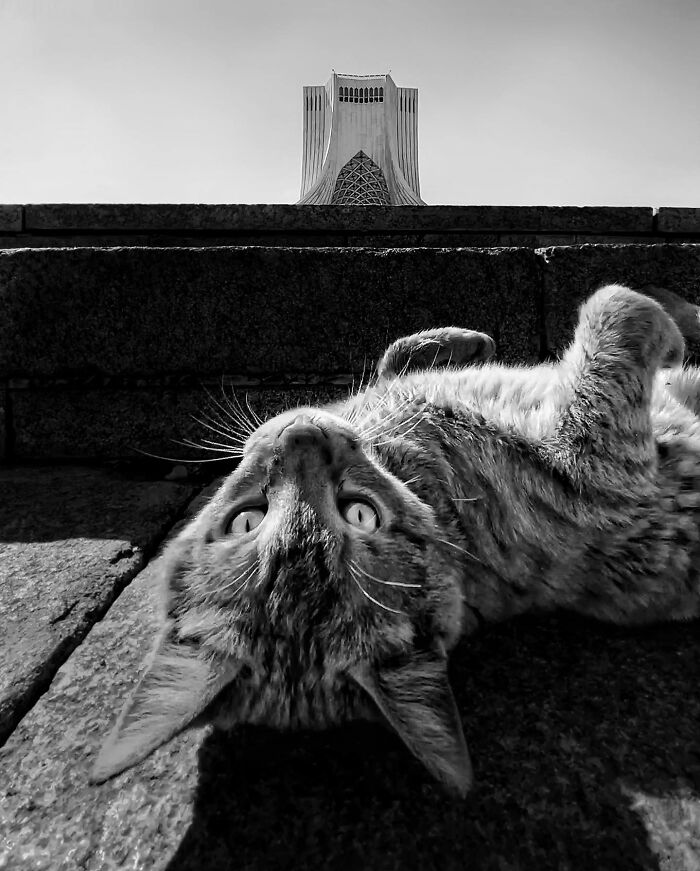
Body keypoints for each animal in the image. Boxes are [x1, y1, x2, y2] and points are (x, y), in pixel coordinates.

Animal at [90, 284, 700, 796]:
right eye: (363, 515)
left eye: (245, 519)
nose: (303, 436)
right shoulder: (598, 474)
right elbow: (614, 312)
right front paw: (666, 328)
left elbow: (393, 363)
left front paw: (448, 344)